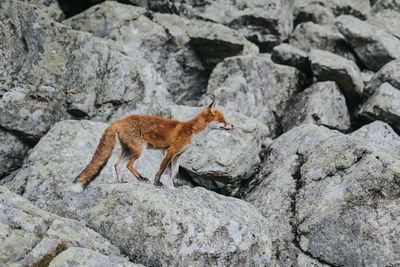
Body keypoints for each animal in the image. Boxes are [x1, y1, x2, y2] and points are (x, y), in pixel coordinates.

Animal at [71, 101, 233, 193]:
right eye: (221, 119)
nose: (232, 125)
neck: (192, 131)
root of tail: (120, 120)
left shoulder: (178, 156)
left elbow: (174, 174)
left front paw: (177, 186)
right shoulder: (170, 151)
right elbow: (160, 170)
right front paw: (157, 183)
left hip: (128, 151)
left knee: (117, 165)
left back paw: (121, 183)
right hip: (139, 150)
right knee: (128, 165)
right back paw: (142, 178)